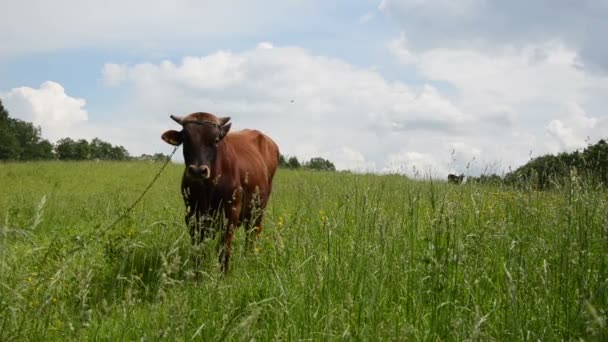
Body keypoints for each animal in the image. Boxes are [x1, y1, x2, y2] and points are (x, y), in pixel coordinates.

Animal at [159, 112, 278, 272]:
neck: (208, 188)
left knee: (253, 233)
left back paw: (250, 257)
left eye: (215, 140)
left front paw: (224, 274)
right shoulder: (192, 215)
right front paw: (197, 273)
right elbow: (198, 249)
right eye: (185, 139)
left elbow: (224, 250)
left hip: (258, 210)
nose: (197, 171)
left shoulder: (230, 214)